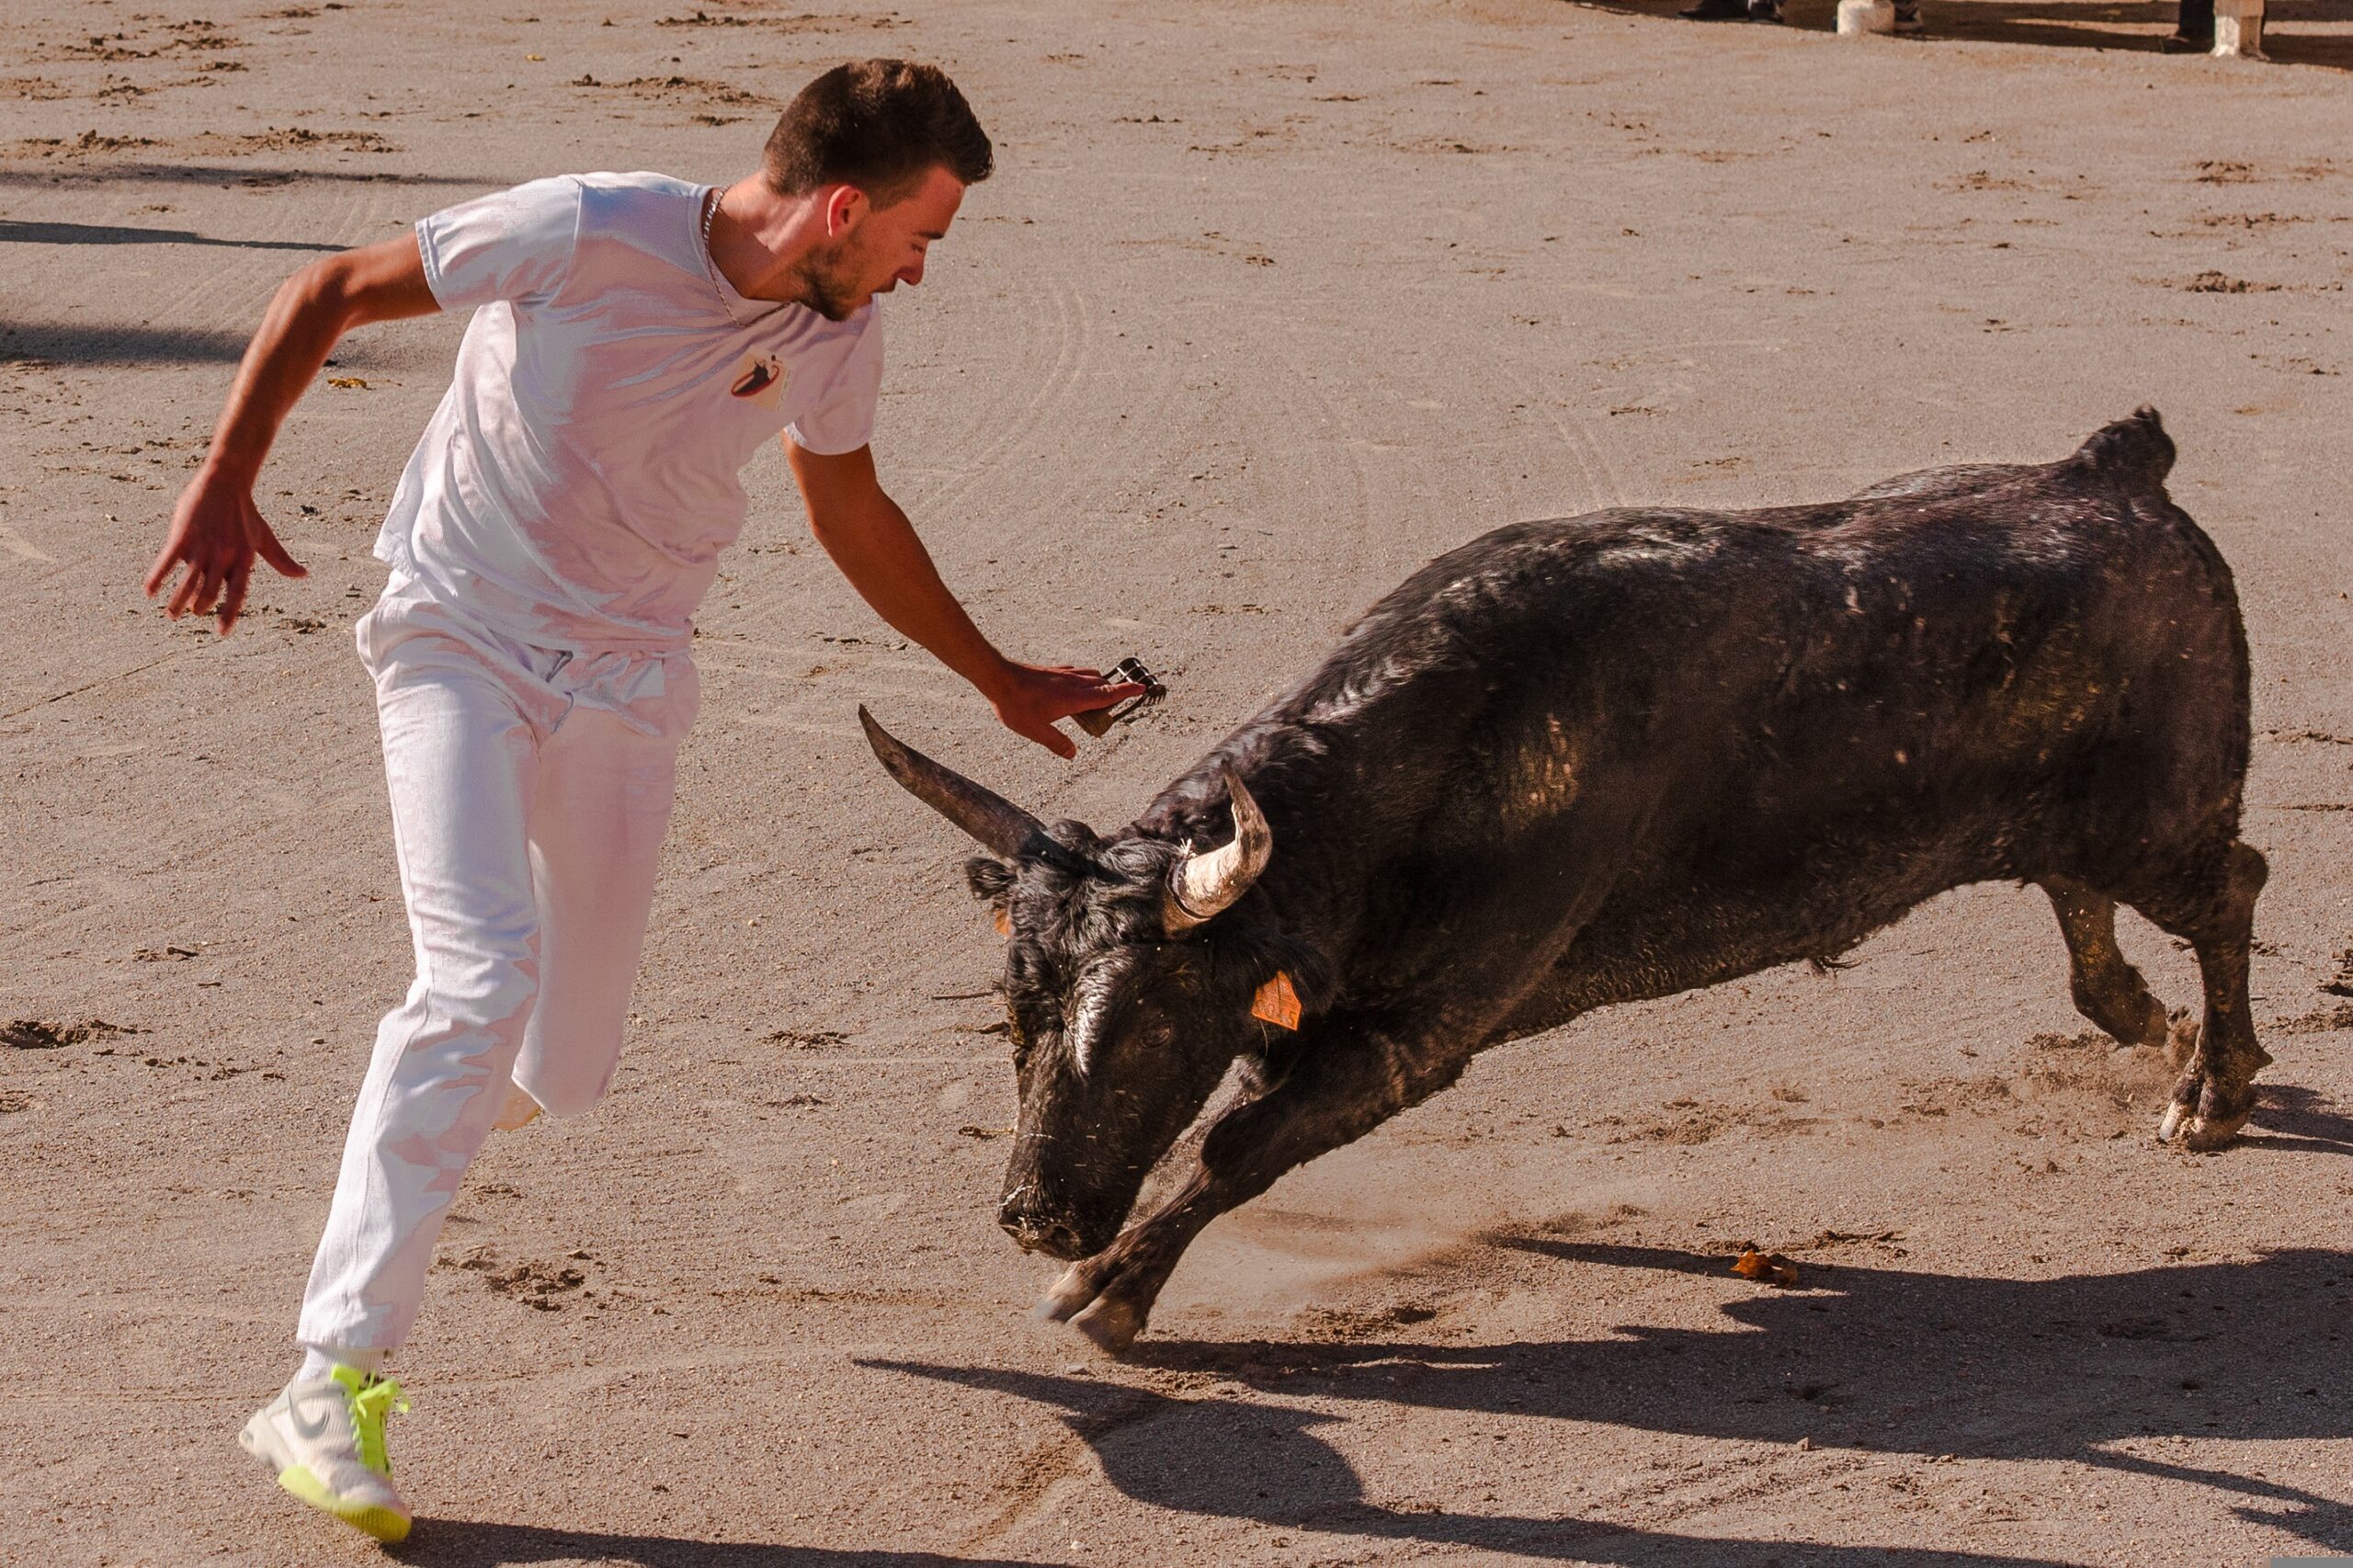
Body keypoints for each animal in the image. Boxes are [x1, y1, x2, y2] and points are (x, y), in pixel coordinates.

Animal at [860, 409, 2258, 1346]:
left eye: (1152, 1022)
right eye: (1015, 1014)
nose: (1035, 1218)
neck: (1418, 768)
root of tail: (2112, 470)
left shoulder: (1419, 1034)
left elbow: (1236, 1140)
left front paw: (1108, 1289)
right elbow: (1244, 1122)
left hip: (2160, 820)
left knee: (2228, 890)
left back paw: (2212, 1091)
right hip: (2071, 822)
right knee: (2087, 909)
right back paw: (2153, 1028)